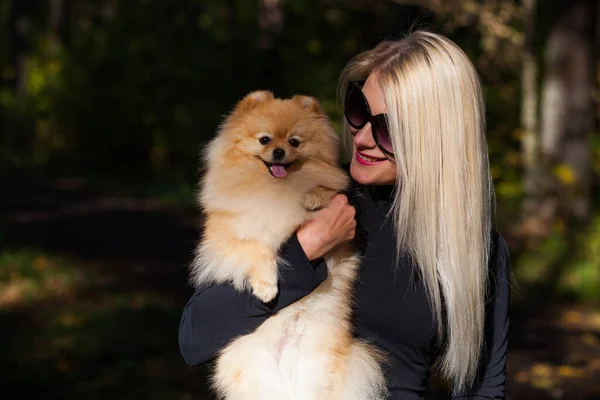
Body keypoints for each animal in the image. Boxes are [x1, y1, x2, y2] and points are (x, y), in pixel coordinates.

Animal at [192, 91, 390, 400]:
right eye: (264, 140)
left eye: (295, 142)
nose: (279, 152)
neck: (275, 190)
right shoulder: (224, 239)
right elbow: (258, 249)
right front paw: (267, 287)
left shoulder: (340, 245)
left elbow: (325, 191)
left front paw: (313, 197)